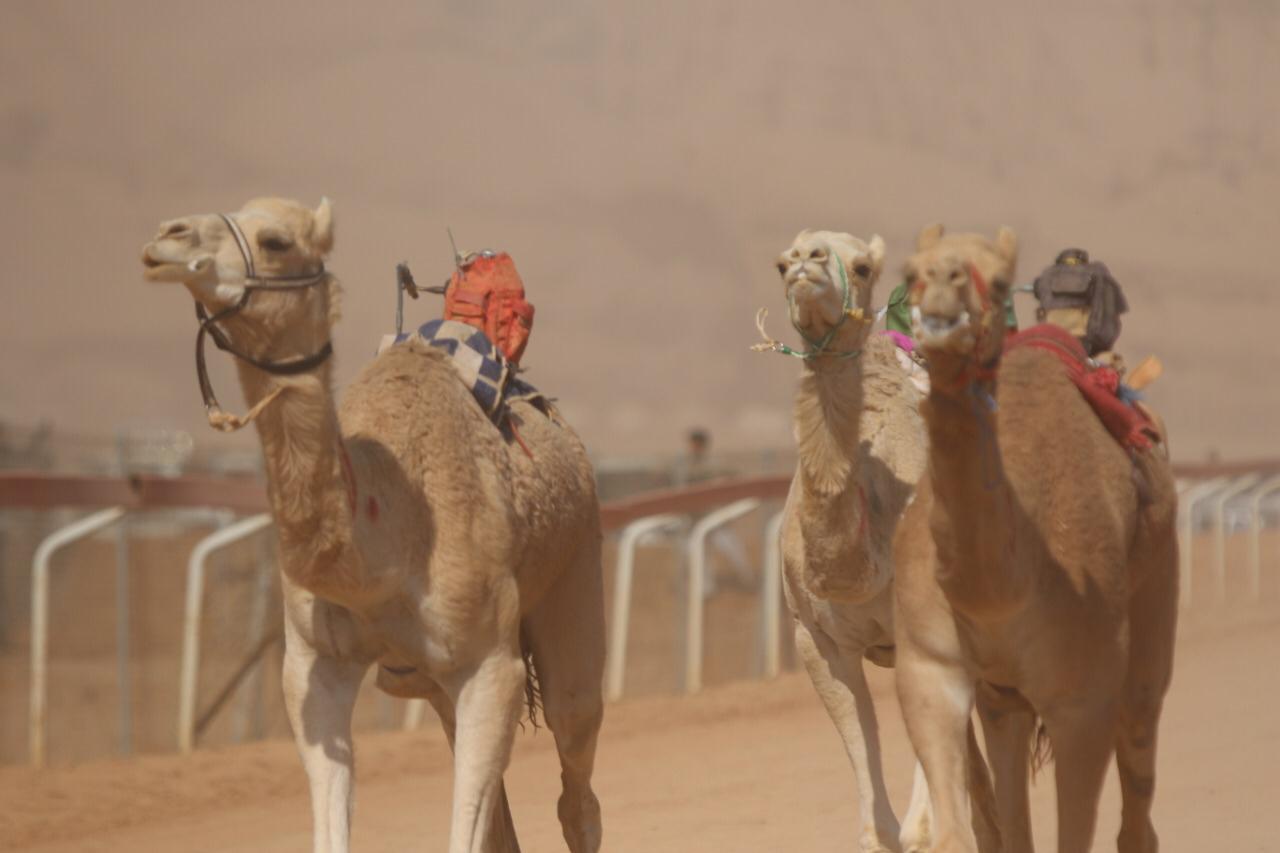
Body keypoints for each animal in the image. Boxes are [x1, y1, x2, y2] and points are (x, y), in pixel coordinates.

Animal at [137, 197, 606, 850]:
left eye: (276, 240)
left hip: (578, 567)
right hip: (429, 680)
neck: (383, 547)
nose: (167, 238)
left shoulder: (491, 666)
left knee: (575, 769)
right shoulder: (313, 667)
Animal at [890, 222, 1177, 845]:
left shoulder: (1082, 698)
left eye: (1000, 280)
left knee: (1139, 760)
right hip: (1003, 697)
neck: (1002, 589)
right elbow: (959, 835)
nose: (943, 291)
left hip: (1151, 623)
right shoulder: (928, 670)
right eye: (911, 271)